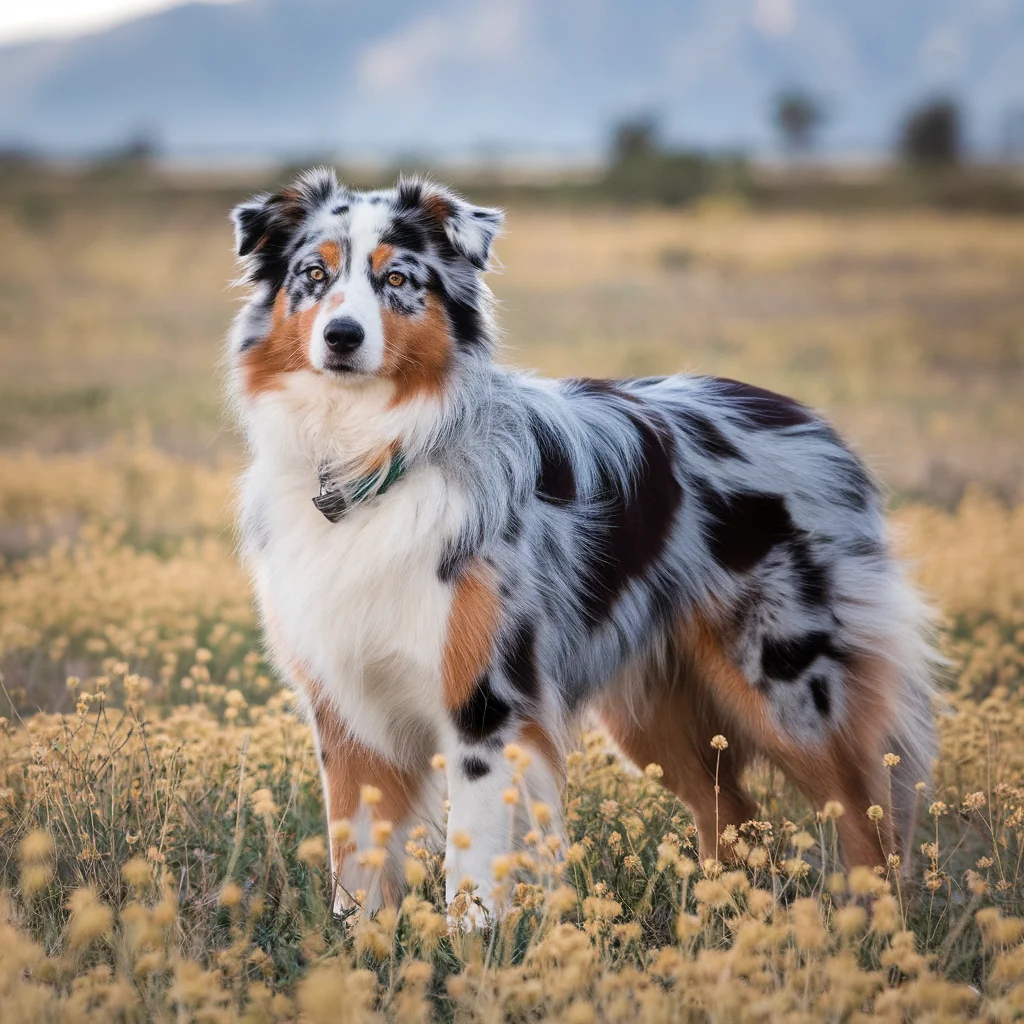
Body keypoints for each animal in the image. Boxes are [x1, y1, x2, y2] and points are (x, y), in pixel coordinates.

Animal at [228, 169, 937, 929]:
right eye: (314, 274)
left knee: (868, 820)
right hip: (655, 714)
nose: (342, 335)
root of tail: (814, 423)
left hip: (788, 686)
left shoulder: (486, 702)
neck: (370, 455)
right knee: (735, 814)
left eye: (396, 278)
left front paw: (472, 941)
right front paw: (361, 944)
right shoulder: (345, 705)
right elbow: (356, 859)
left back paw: (874, 930)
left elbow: (473, 854)